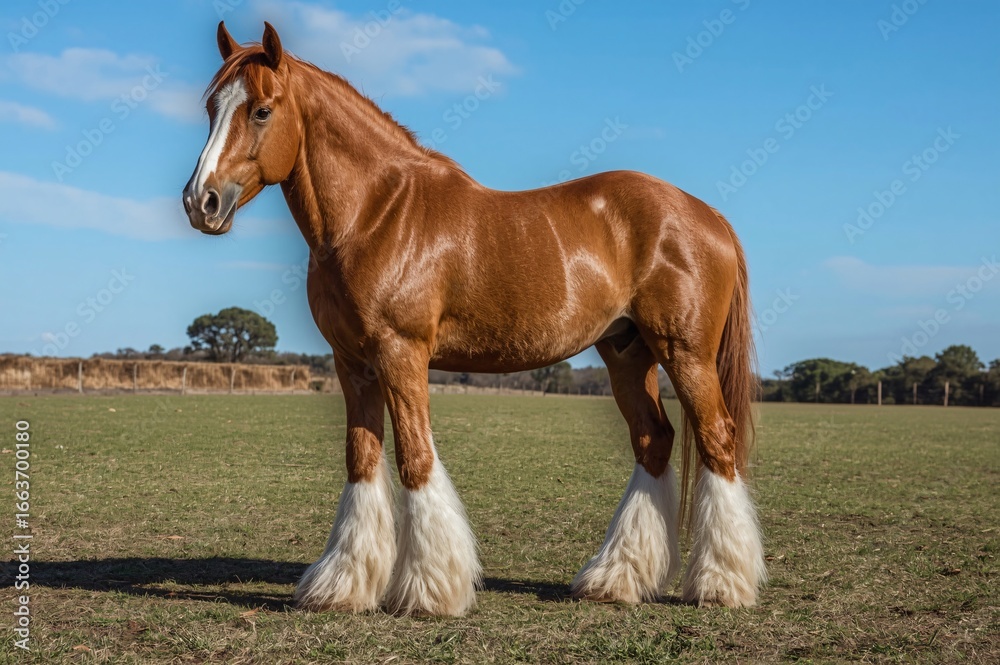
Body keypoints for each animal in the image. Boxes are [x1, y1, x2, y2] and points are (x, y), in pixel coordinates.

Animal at [183, 22, 766, 617]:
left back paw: (721, 584)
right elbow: (361, 460)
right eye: (211, 107)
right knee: (654, 441)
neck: (376, 215)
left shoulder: (401, 353)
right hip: (628, 354)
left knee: (717, 440)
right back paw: (616, 579)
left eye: (261, 110)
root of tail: (706, 214)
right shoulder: (352, 363)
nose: (200, 202)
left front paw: (431, 591)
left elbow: (415, 459)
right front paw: (343, 586)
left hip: (685, 354)